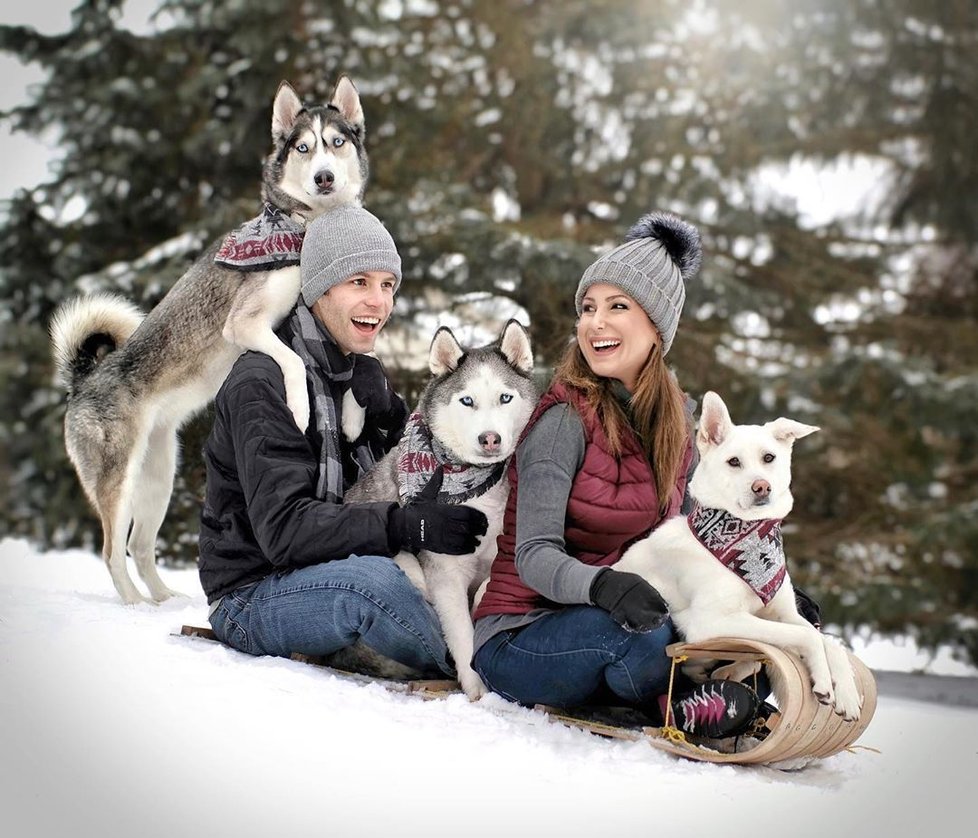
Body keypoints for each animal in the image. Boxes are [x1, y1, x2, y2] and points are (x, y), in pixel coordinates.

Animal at [612, 392, 856, 720]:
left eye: (769, 458)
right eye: (734, 462)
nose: (761, 487)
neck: (746, 535)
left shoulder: (783, 613)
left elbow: (828, 641)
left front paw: (846, 693)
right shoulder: (711, 621)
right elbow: (807, 637)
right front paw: (825, 683)